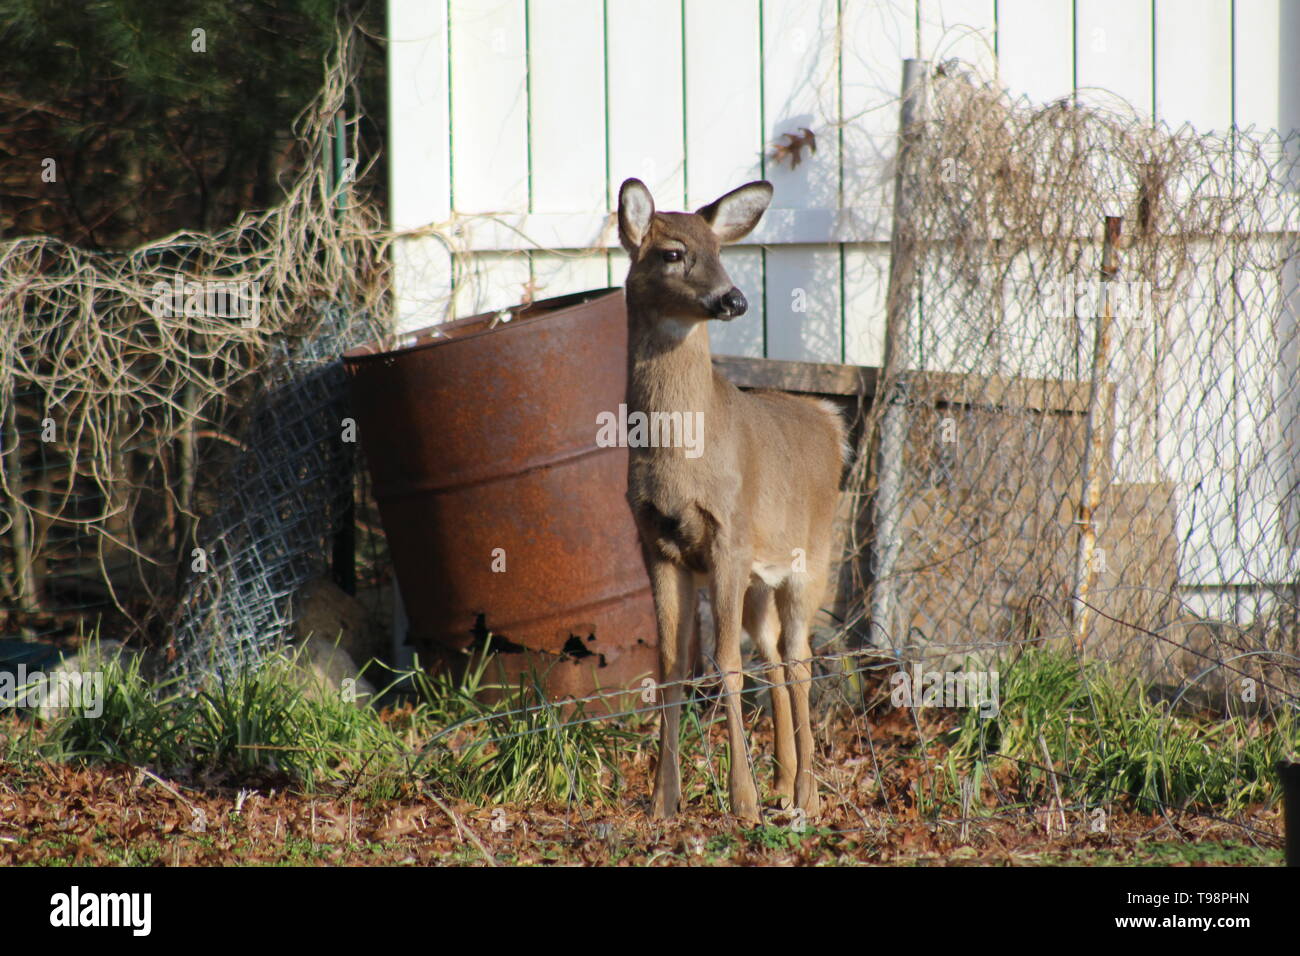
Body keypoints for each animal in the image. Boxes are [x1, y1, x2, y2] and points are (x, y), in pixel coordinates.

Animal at [617, 177, 847, 823]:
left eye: (721, 252)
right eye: (673, 252)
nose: (734, 299)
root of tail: (831, 420)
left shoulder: (728, 535)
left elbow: (727, 667)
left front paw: (741, 802)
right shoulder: (657, 543)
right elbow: (673, 669)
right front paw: (662, 801)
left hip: (811, 561)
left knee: (798, 661)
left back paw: (805, 794)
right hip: (758, 583)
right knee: (774, 659)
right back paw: (785, 782)